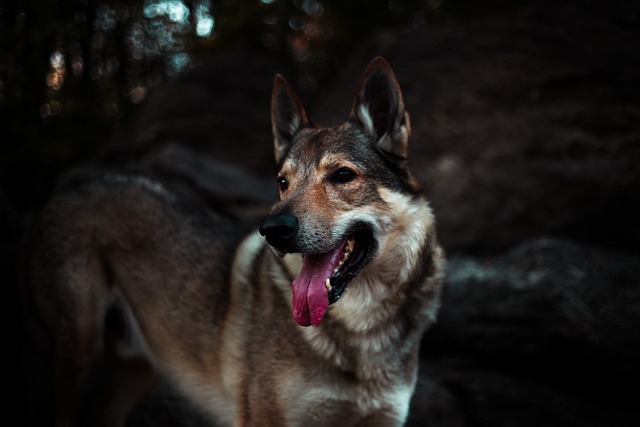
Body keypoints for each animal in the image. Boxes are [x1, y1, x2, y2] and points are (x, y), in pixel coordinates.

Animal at [23, 57, 444, 427]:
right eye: (282, 182)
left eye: (342, 175)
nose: (273, 229)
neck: (363, 333)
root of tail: (68, 190)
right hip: (78, 350)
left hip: (137, 368)